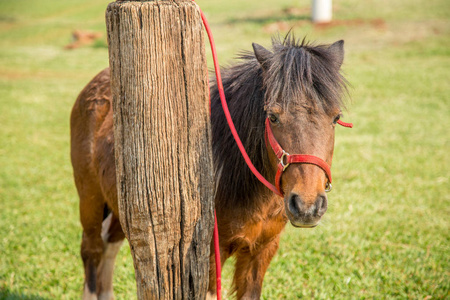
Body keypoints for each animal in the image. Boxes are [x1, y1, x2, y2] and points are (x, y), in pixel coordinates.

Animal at [71, 36, 348, 298]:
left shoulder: (262, 250)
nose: (307, 206)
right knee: (92, 249)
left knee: (110, 245)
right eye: (273, 117)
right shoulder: (211, 255)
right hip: (90, 200)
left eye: (336, 118)